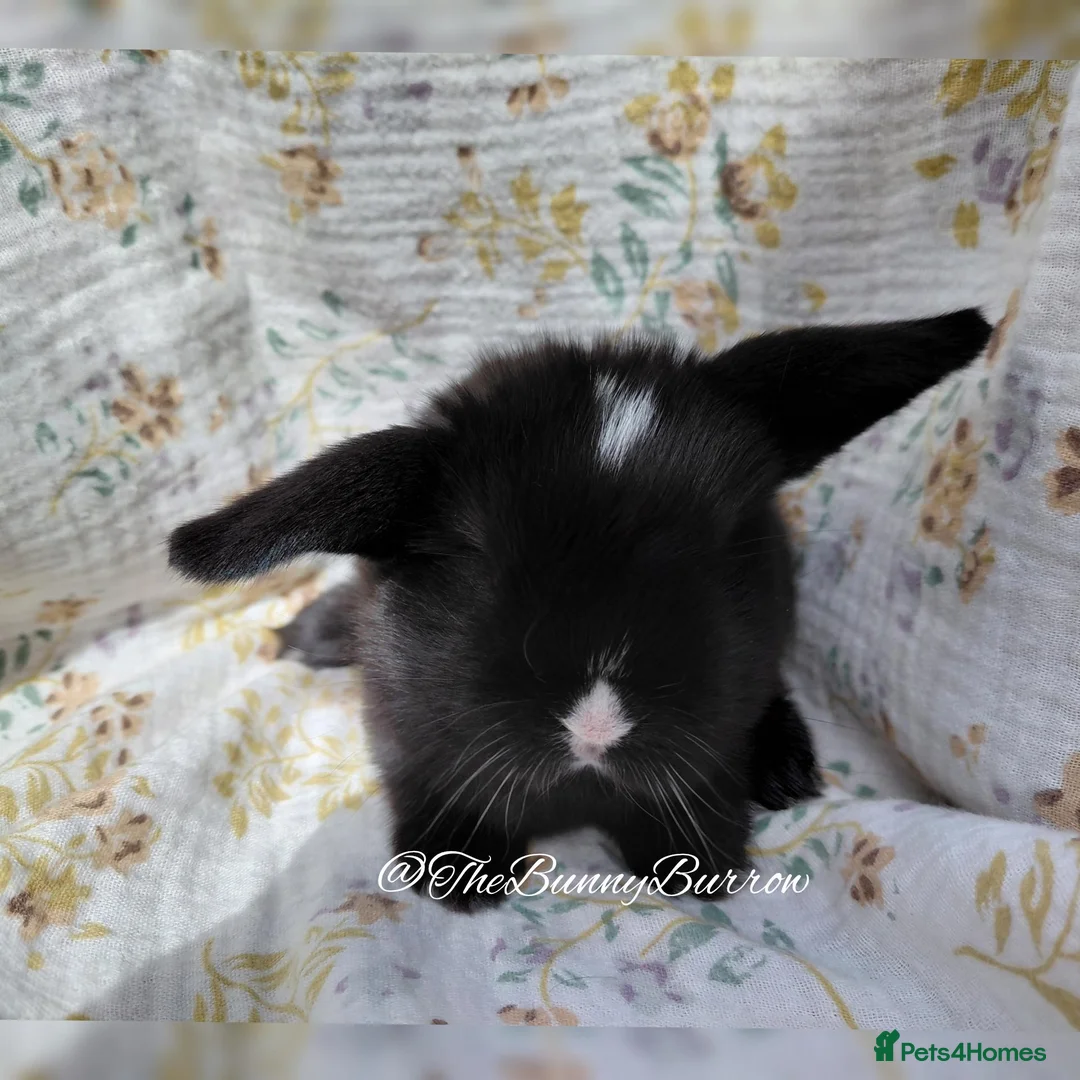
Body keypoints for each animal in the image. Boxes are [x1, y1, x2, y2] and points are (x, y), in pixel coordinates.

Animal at [169, 310, 992, 912]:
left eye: (727, 544)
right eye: (479, 558)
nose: (597, 728)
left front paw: (693, 863)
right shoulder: (407, 730)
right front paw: (457, 874)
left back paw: (789, 770)